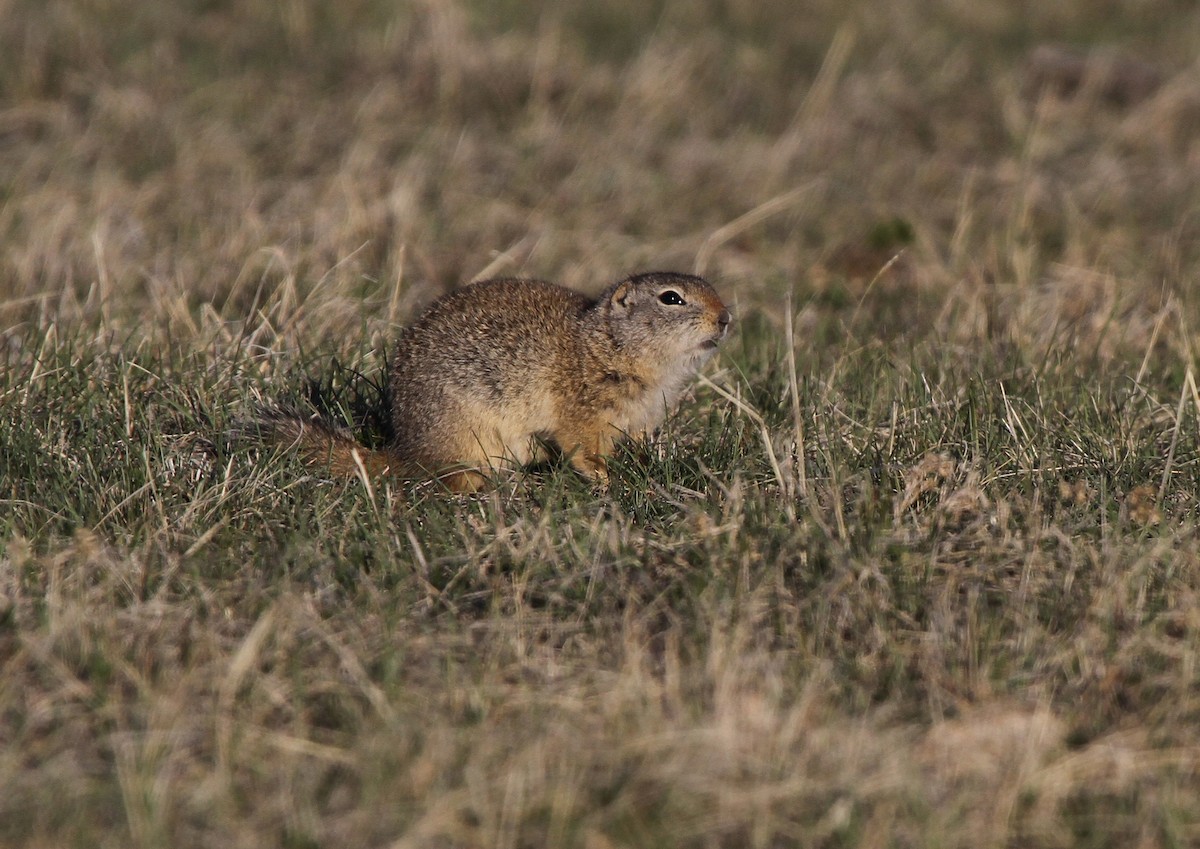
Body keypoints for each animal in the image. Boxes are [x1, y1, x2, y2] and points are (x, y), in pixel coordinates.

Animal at [243, 271, 731, 492]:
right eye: (672, 298)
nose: (726, 318)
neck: (607, 343)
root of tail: (406, 449)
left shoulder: (642, 415)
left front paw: (651, 461)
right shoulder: (583, 407)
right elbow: (581, 446)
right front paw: (606, 477)